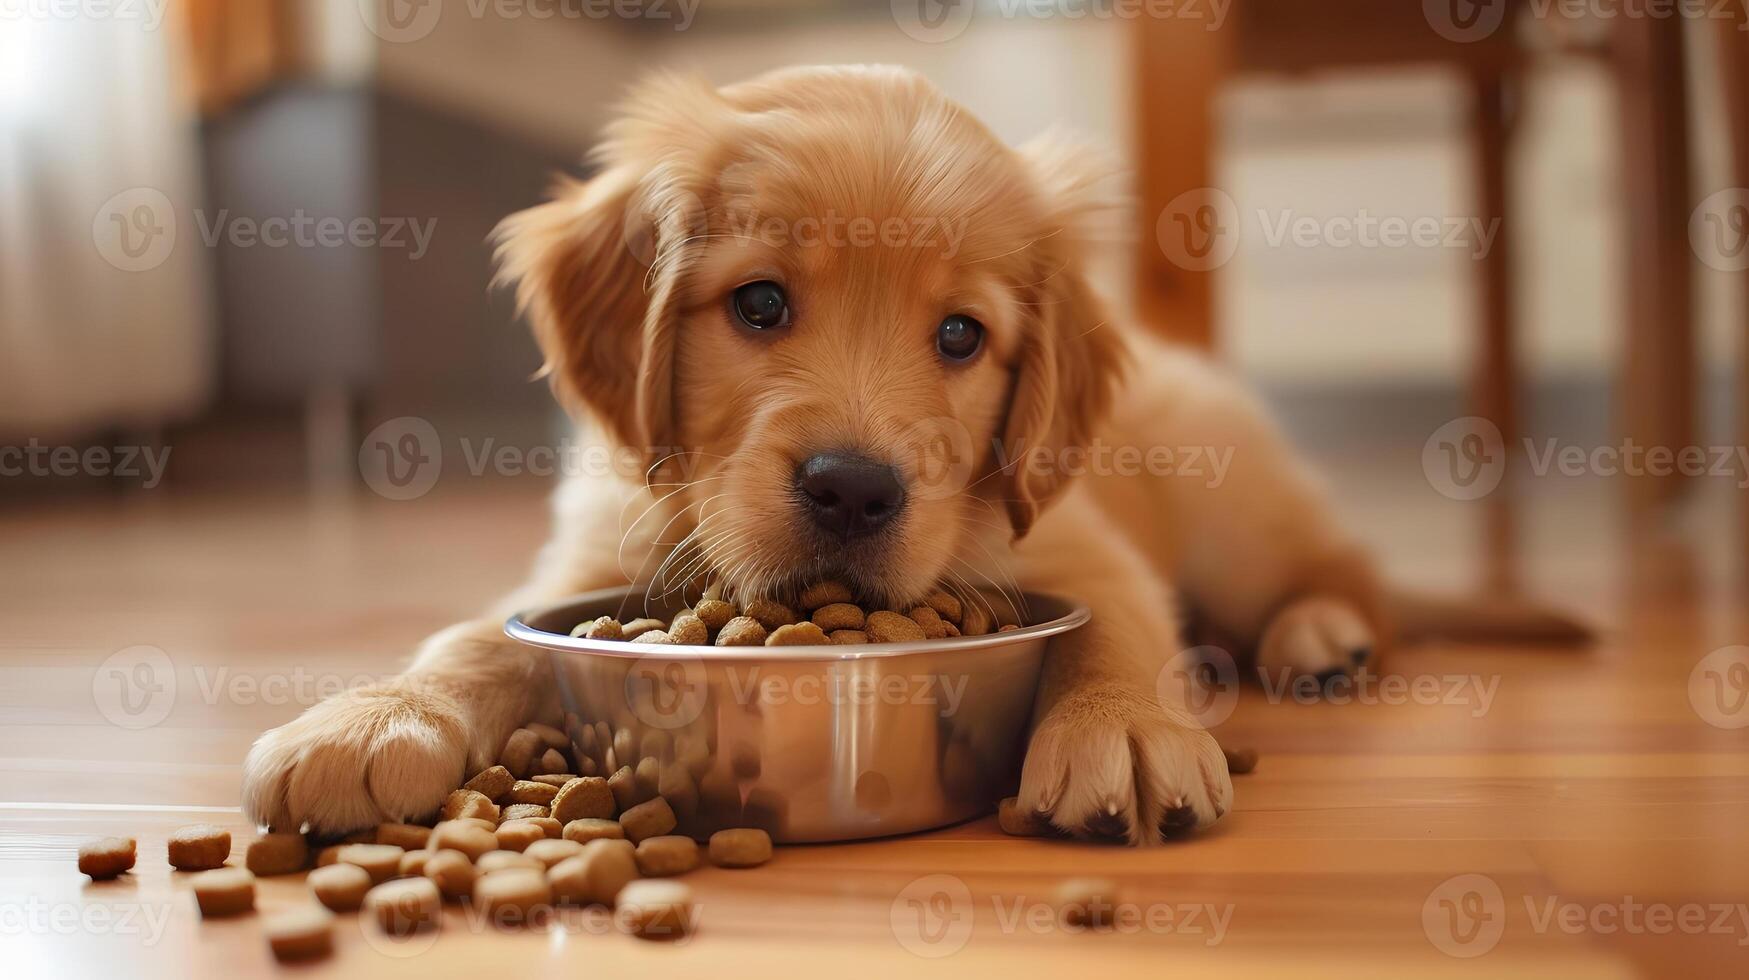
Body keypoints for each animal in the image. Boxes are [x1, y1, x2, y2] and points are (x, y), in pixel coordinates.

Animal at [243, 66, 1392, 843]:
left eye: (961, 335)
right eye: (759, 303)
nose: (851, 492)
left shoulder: (1076, 544)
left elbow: (1115, 624)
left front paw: (1129, 726)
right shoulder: (595, 557)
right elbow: (483, 634)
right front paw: (369, 720)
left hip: (1229, 503)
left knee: (1340, 570)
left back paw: (1323, 636)